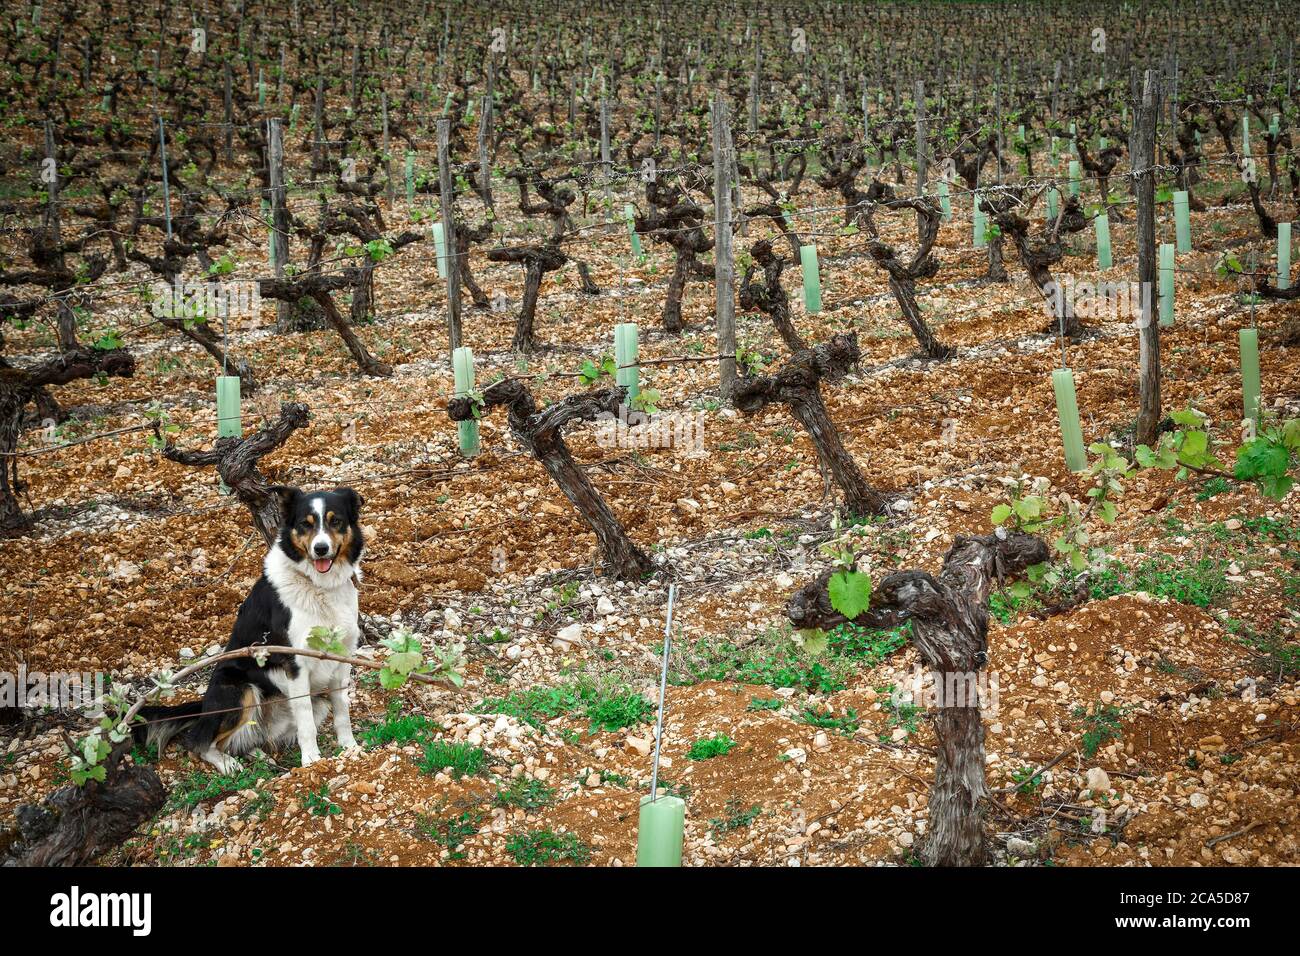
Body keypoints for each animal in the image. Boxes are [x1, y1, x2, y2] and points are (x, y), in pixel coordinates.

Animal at [136, 489, 366, 775]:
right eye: (306, 524)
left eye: (336, 522)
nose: (320, 548)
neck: (319, 586)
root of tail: (202, 707)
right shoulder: (295, 662)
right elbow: (306, 722)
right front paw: (312, 761)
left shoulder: (342, 656)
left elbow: (342, 709)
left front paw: (349, 747)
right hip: (240, 690)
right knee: (200, 741)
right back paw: (227, 764)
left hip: (311, 705)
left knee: (248, 738)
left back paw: (258, 755)